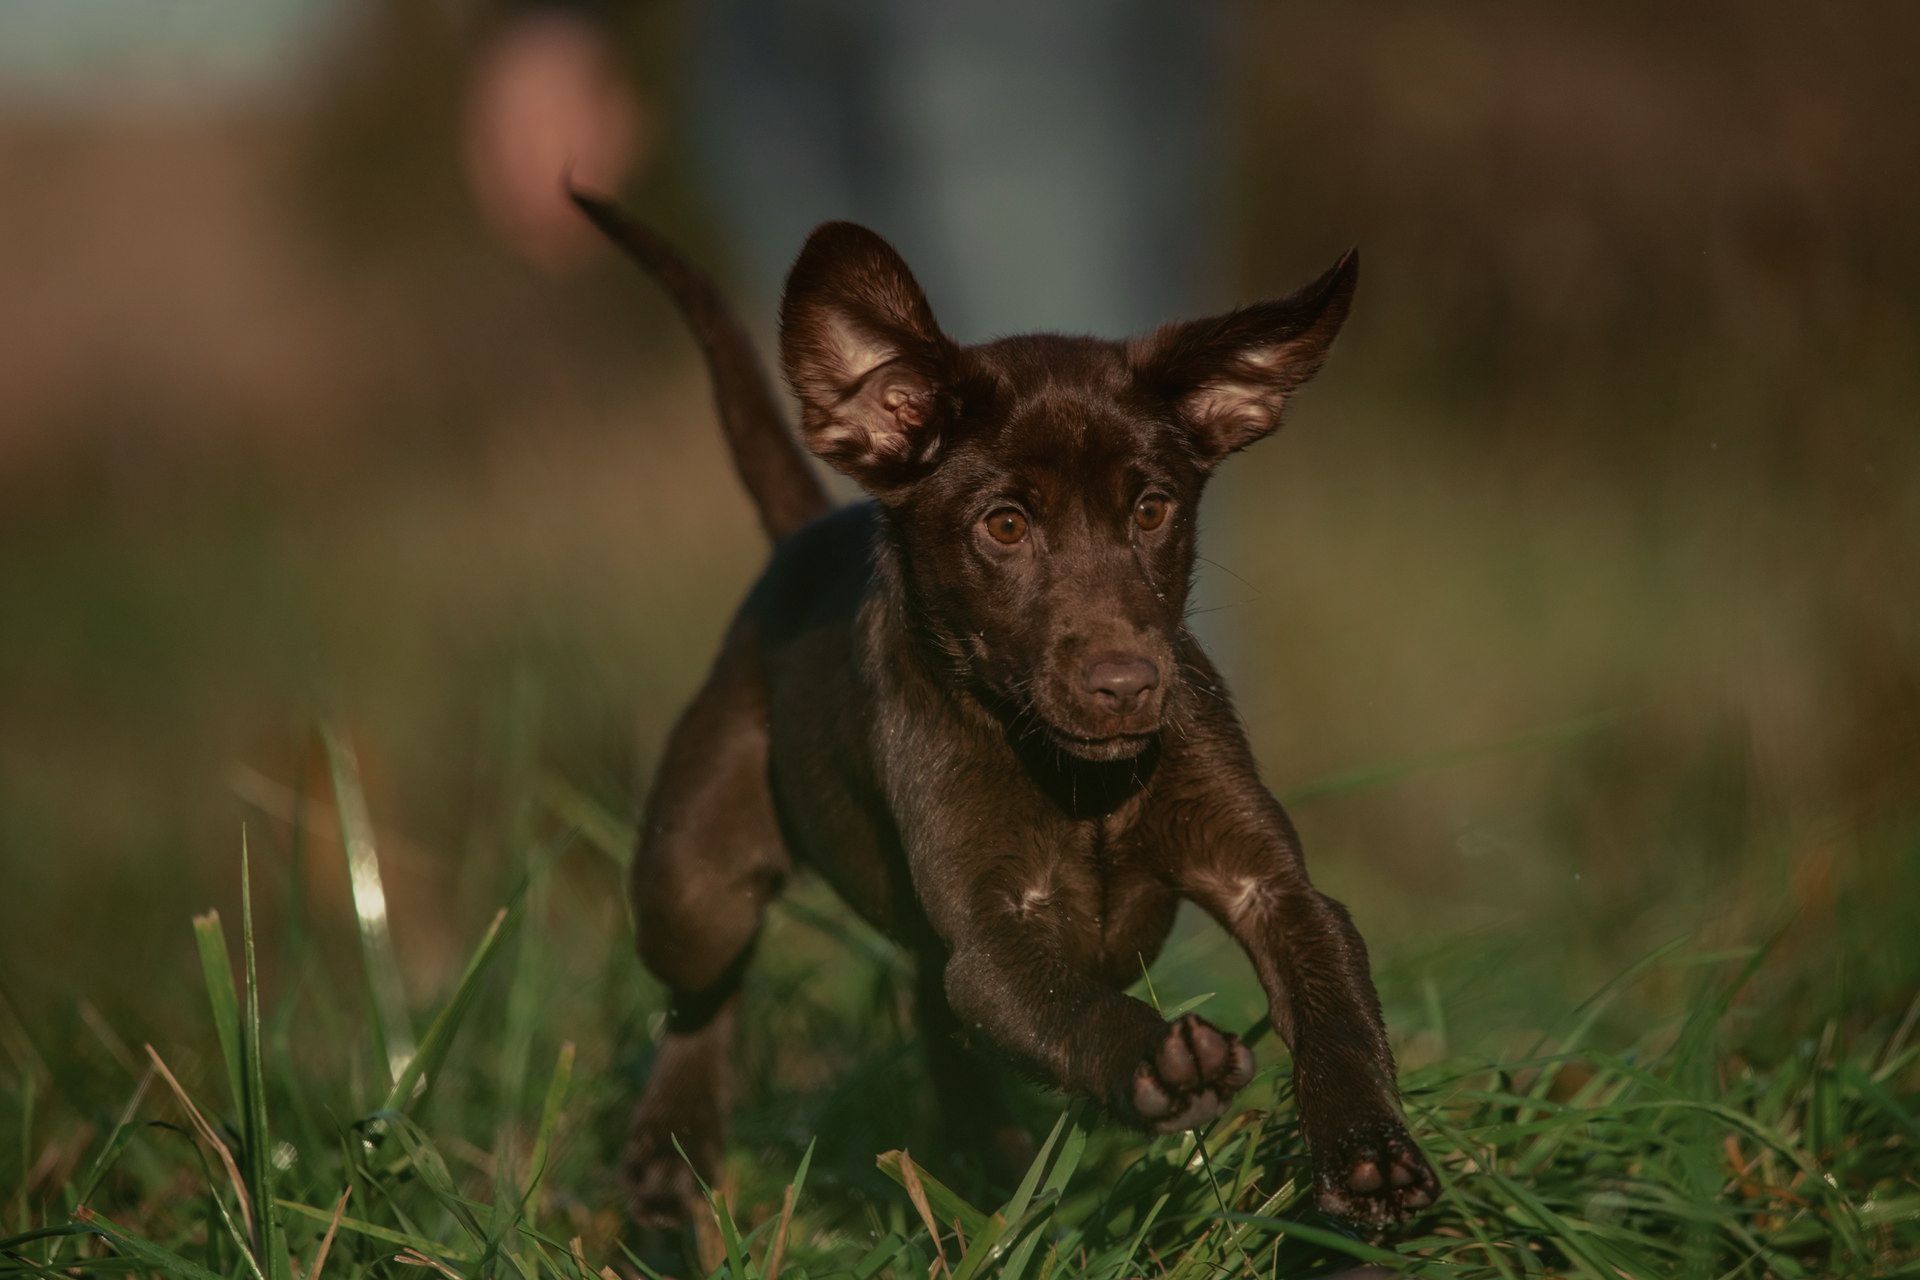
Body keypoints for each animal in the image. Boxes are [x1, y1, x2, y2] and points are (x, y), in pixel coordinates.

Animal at [576, 192, 1436, 1228]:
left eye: (1152, 510)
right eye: (1006, 526)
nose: (1127, 684)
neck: (1083, 785)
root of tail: (805, 535)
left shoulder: (1272, 886)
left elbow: (1336, 1012)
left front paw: (1370, 1152)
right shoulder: (994, 934)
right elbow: (1065, 1005)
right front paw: (1159, 1061)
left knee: (929, 1011)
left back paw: (983, 1161)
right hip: (694, 876)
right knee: (704, 986)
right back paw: (670, 1155)